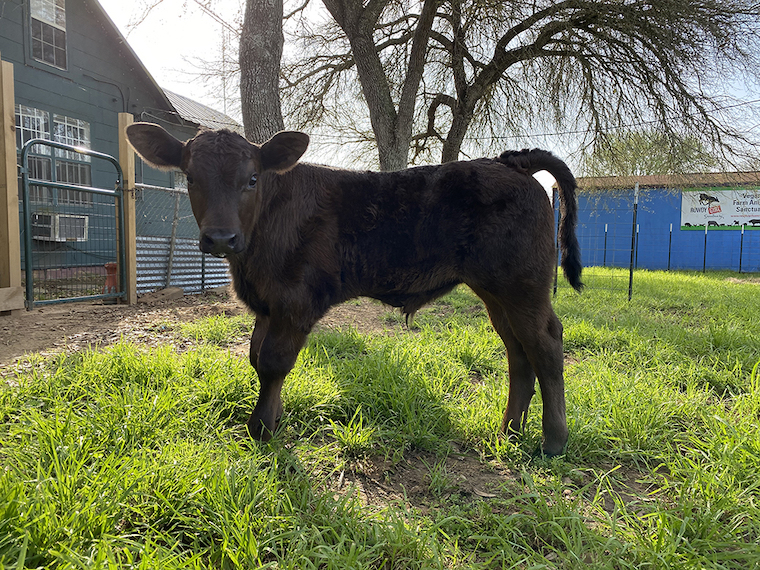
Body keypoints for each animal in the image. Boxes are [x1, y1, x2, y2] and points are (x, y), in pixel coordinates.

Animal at [125, 123, 583, 457]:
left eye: (252, 178)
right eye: (189, 177)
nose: (221, 238)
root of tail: (511, 163)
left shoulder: (294, 300)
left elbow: (272, 361)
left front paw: (261, 429)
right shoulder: (266, 304)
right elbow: (255, 357)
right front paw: (274, 417)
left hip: (522, 285)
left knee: (545, 344)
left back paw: (553, 441)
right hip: (497, 292)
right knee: (518, 352)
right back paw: (509, 431)